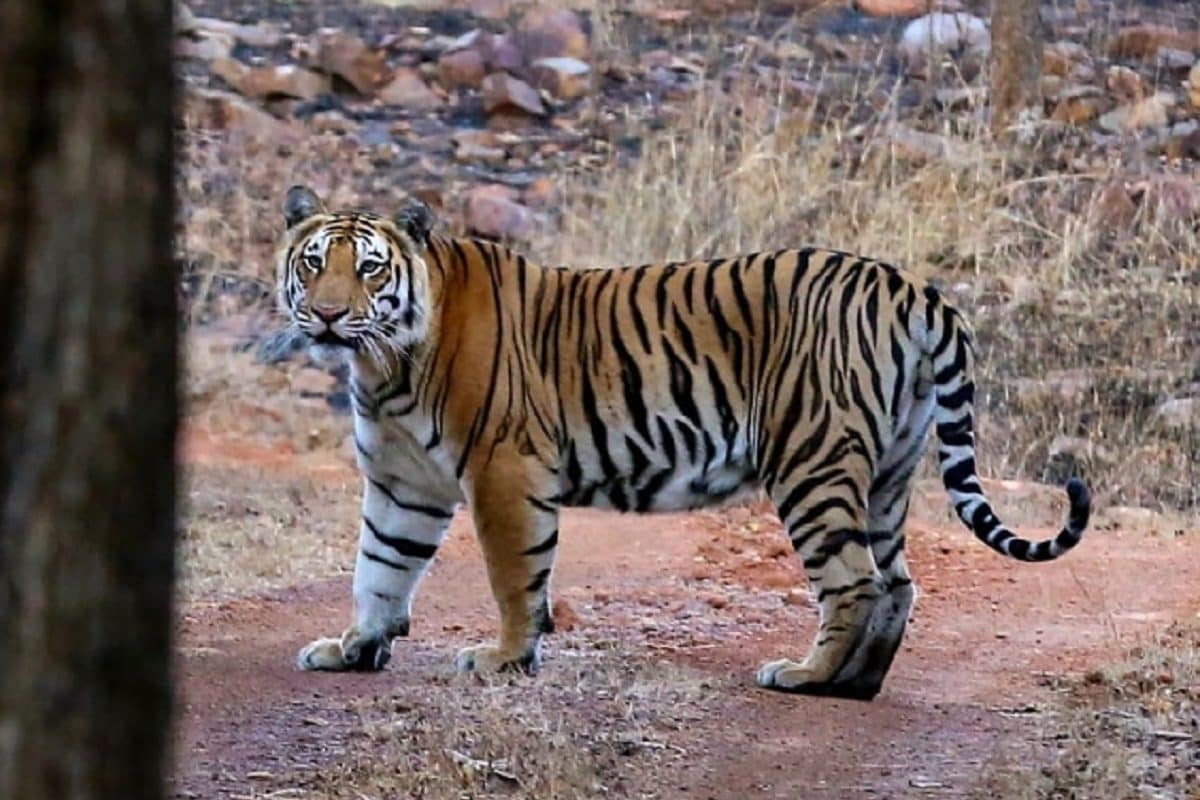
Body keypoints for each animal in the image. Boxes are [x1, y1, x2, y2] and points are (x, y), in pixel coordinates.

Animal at [278, 185, 1089, 700]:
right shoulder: (402, 481)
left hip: (812, 459)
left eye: (370, 267)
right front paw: (353, 649)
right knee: (898, 581)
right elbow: (380, 568)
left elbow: (513, 578)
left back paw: (807, 677)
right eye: (314, 262)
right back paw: (854, 686)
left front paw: (503, 658)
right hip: (888, 473)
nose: (327, 316)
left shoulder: (505, 468)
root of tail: (907, 285)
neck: (384, 365)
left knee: (856, 580)